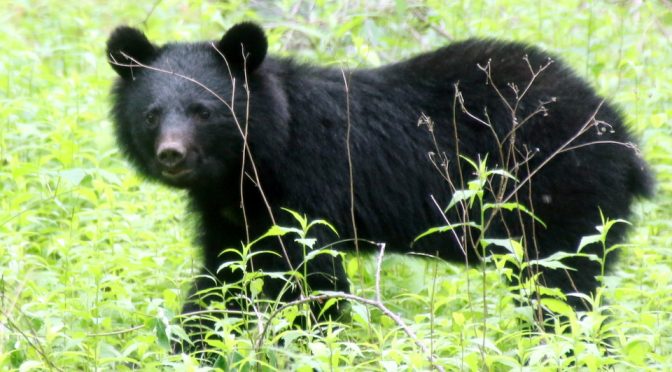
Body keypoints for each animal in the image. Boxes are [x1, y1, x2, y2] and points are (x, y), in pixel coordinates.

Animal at [106, 21, 652, 354]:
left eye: (204, 112)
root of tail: (625, 141)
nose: (172, 155)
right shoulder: (231, 211)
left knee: (562, 292)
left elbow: (308, 281)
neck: (251, 162)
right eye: (152, 114)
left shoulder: (309, 188)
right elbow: (226, 277)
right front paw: (191, 345)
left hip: (557, 197)